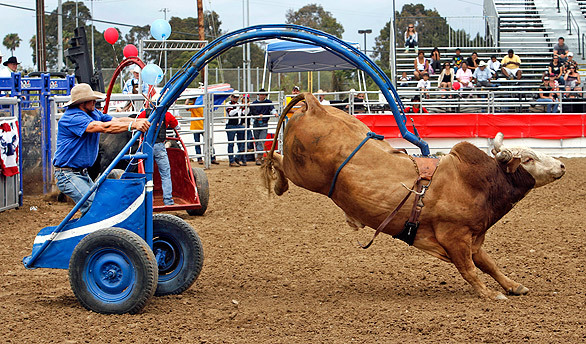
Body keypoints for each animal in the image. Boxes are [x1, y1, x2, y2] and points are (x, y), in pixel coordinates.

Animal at [260, 92, 560, 300]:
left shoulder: (473, 239)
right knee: (275, 158)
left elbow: (489, 264)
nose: (561, 166)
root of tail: (316, 105)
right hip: (304, 173)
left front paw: (514, 286)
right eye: (529, 159)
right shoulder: (455, 237)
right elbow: (469, 269)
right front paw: (489, 294)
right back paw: (278, 184)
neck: (476, 182)